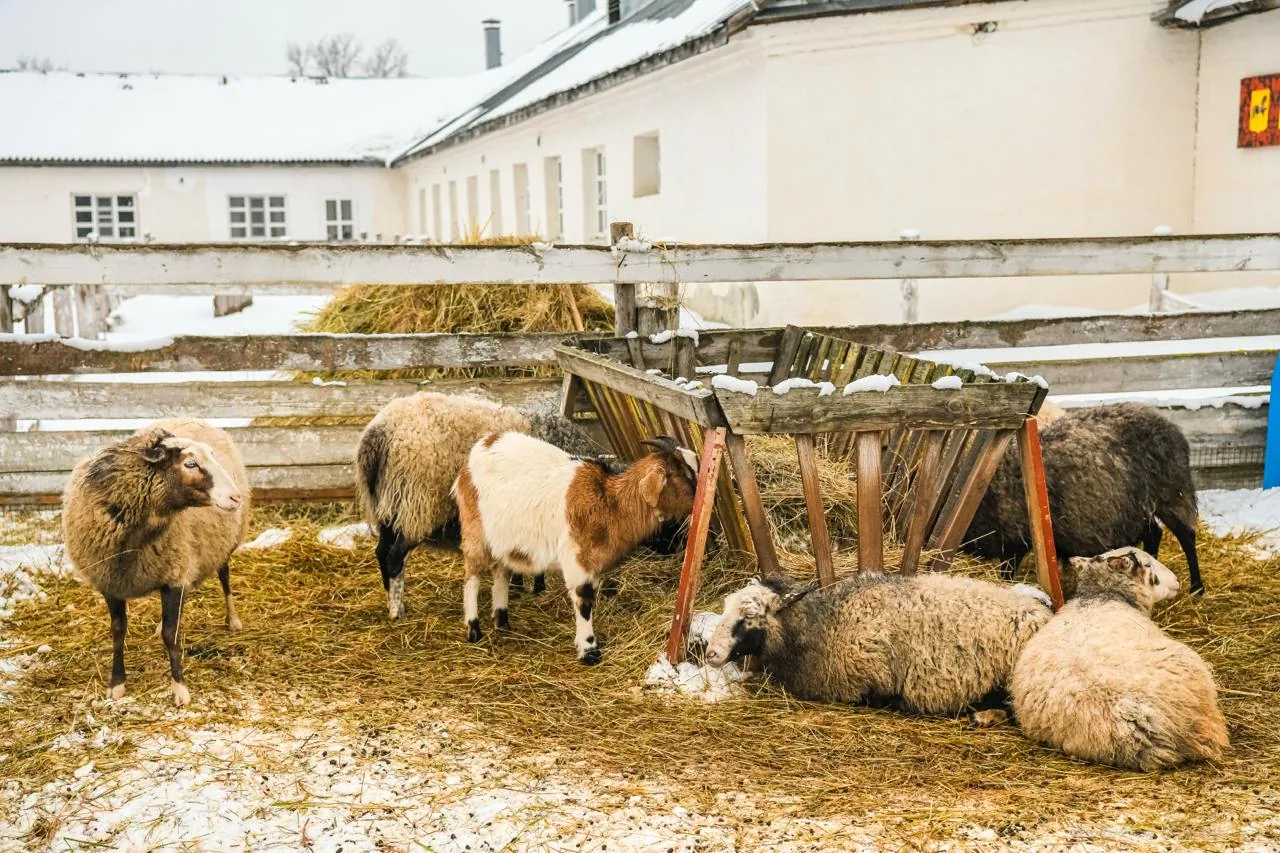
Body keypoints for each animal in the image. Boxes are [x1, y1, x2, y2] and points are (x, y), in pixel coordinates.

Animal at [62, 418, 249, 707]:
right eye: (190, 464)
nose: (235, 497)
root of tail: (189, 417)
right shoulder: (111, 583)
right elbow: (118, 632)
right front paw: (116, 684)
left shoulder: (173, 577)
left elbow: (171, 636)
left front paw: (180, 688)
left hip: (223, 545)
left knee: (225, 576)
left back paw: (233, 619)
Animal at [355, 392, 607, 619]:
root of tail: (378, 433)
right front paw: (535, 588)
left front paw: (517, 586)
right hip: (418, 506)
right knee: (394, 557)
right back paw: (398, 612)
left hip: (389, 507)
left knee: (381, 552)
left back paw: (390, 598)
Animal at [454, 433, 698, 664]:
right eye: (684, 474)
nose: (701, 501)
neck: (610, 502)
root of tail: (483, 444)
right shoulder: (578, 560)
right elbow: (584, 600)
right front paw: (589, 651)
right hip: (475, 533)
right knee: (472, 578)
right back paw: (474, 630)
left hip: (503, 542)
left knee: (501, 574)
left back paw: (502, 621)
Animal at [963, 403, 1203, 593]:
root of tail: (1166, 422)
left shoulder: (1015, 539)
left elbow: (1007, 573)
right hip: (1132, 507)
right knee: (1154, 533)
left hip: (1173, 493)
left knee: (1187, 536)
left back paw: (1197, 588)